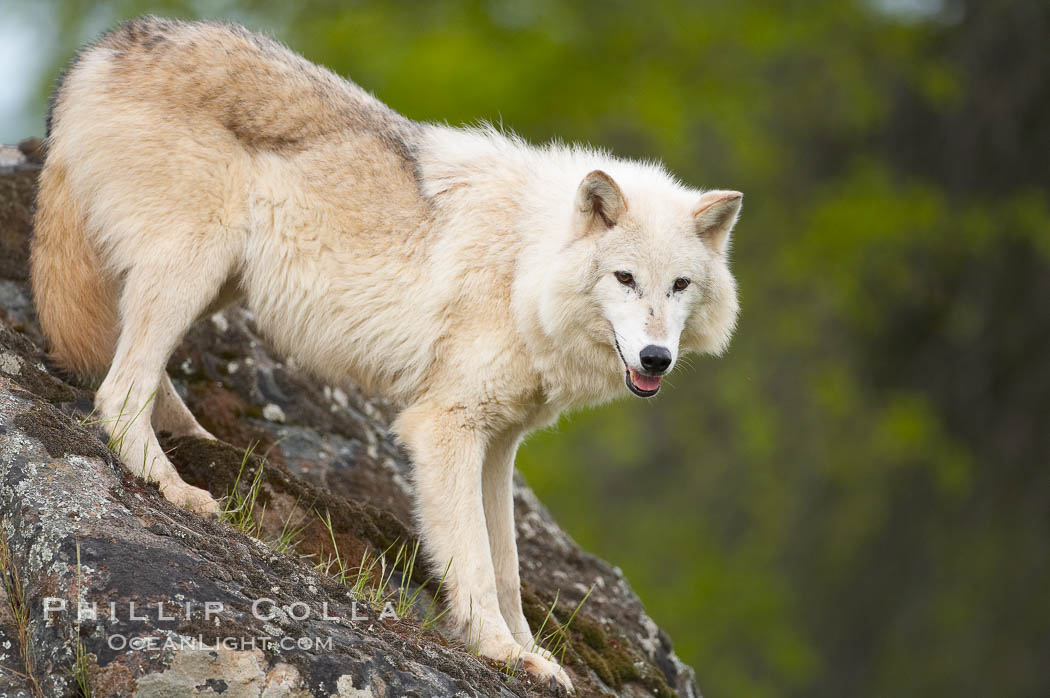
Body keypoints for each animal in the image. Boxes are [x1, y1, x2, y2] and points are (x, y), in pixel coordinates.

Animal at [30, 16, 739, 692]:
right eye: (625, 278)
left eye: (680, 286)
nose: (656, 358)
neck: (522, 267)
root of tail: (101, 51)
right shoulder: (445, 429)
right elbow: (476, 563)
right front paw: (502, 652)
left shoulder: (500, 444)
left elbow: (508, 568)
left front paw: (533, 655)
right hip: (191, 270)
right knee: (119, 388)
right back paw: (174, 488)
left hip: (215, 284)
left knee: (133, 365)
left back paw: (196, 438)